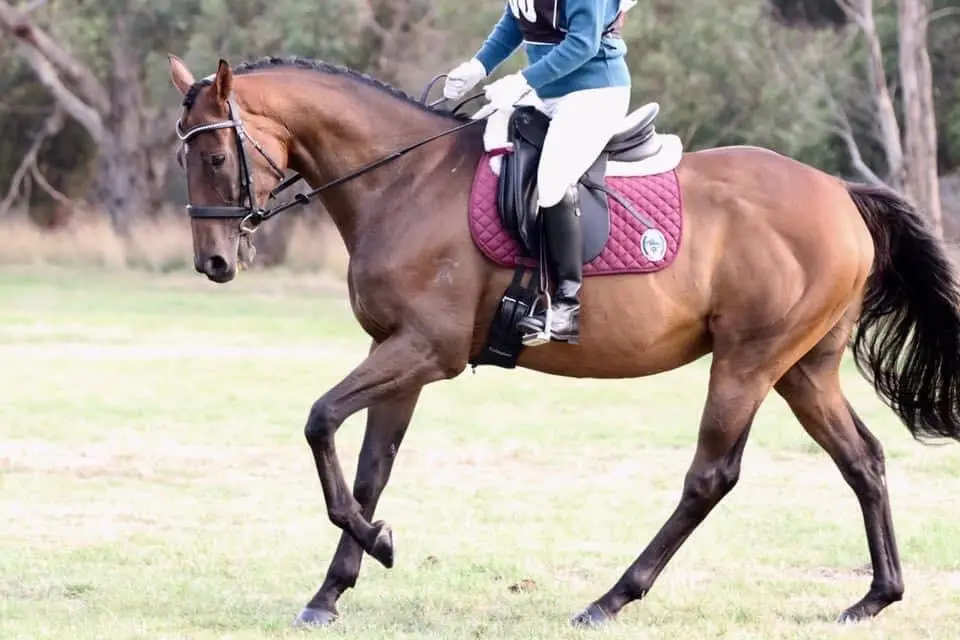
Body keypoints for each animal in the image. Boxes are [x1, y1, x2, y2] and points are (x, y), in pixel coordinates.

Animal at [166, 53, 960, 629]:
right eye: (185, 160)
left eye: (214, 159)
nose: (214, 264)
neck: (405, 179)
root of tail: (841, 193)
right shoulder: (398, 354)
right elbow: (368, 471)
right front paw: (334, 588)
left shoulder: (426, 352)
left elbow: (319, 421)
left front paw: (377, 545)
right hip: (802, 369)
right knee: (863, 460)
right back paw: (875, 597)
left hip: (748, 361)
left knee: (711, 477)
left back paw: (611, 599)